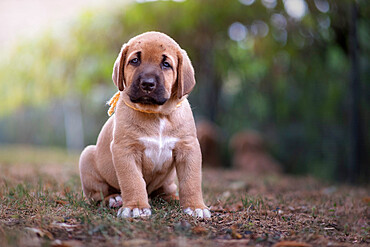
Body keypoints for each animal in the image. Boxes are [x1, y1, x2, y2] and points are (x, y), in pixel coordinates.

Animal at [78, 31, 211, 218]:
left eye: (166, 64)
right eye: (135, 61)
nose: (147, 83)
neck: (157, 114)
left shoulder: (188, 148)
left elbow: (191, 180)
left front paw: (195, 206)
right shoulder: (125, 149)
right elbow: (133, 180)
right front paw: (136, 207)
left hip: (168, 179)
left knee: (166, 190)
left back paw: (172, 198)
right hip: (87, 157)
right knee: (99, 195)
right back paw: (114, 199)